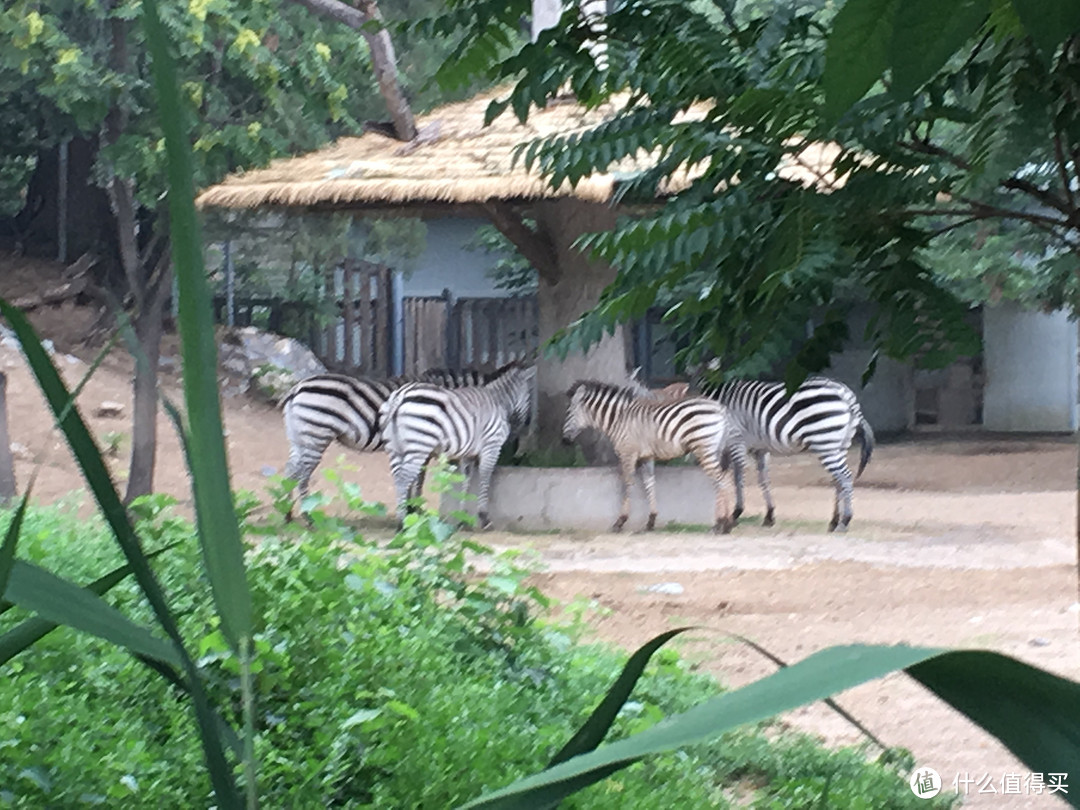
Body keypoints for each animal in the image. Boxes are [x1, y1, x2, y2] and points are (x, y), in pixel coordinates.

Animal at [280, 367, 494, 514]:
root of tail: (297, 388)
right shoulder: (422, 444)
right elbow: (418, 479)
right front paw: (414, 507)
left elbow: (413, 478)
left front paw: (410, 507)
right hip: (317, 434)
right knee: (302, 475)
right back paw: (307, 517)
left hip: (298, 437)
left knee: (290, 471)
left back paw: (287, 513)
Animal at [380, 365, 535, 529]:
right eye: (529, 396)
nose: (519, 428)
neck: (498, 401)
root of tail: (400, 396)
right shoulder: (491, 446)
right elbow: (485, 476)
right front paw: (484, 516)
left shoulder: (468, 453)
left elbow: (465, 479)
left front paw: (462, 517)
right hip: (419, 445)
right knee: (404, 479)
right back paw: (403, 523)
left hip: (395, 448)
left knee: (397, 478)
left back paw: (402, 520)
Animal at [561, 382, 738, 535]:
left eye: (569, 412)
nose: (564, 441)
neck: (619, 418)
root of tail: (721, 408)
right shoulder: (646, 456)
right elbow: (649, 484)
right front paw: (651, 521)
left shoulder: (628, 453)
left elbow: (628, 483)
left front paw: (620, 521)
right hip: (715, 450)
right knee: (726, 478)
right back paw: (723, 524)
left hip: (704, 448)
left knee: (722, 481)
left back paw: (723, 524)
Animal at [708, 380, 876, 535]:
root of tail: (845, 393)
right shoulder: (760, 449)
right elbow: (763, 480)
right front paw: (769, 515)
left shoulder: (736, 441)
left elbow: (736, 478)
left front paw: (735, 513)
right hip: (839, 445)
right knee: (838, 480)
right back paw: (834, 521)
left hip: (825, 441)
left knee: (845, 477)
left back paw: (845, 521)